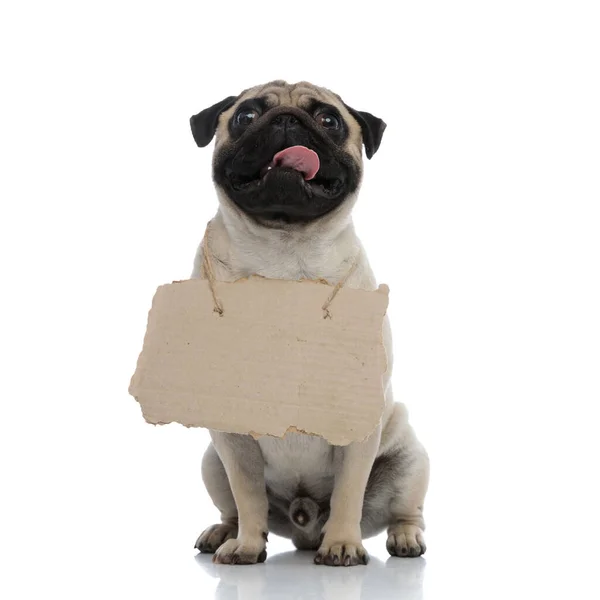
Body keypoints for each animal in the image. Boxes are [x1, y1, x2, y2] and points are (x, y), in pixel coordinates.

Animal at [190, 81, 428, 568]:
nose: (286, 120)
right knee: (233, 506)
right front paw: (246, 544)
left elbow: (348, 492)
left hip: (412, 460)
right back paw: (225, 533)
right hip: (211, 461)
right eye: (245, 117)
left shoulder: (357, 419)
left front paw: (342, 545)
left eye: (328, 120)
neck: (283, 250)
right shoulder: (231, 437)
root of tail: (304, 527)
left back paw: (403, 538)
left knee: (406, 510)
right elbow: (247, 494)